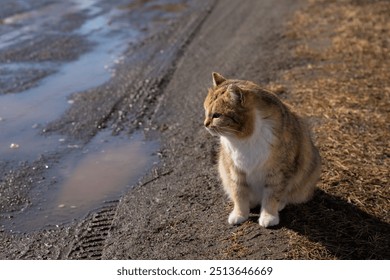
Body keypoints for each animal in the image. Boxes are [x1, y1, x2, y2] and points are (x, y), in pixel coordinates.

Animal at [204, 72, 320, 228]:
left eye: (217, 115)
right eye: (205, 112)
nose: (205, 124)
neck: (244, 139)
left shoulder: (277, 171)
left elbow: (272, 195)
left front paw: (269, 216)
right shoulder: (235, 170)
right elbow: (239, 193)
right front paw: (240, 214)